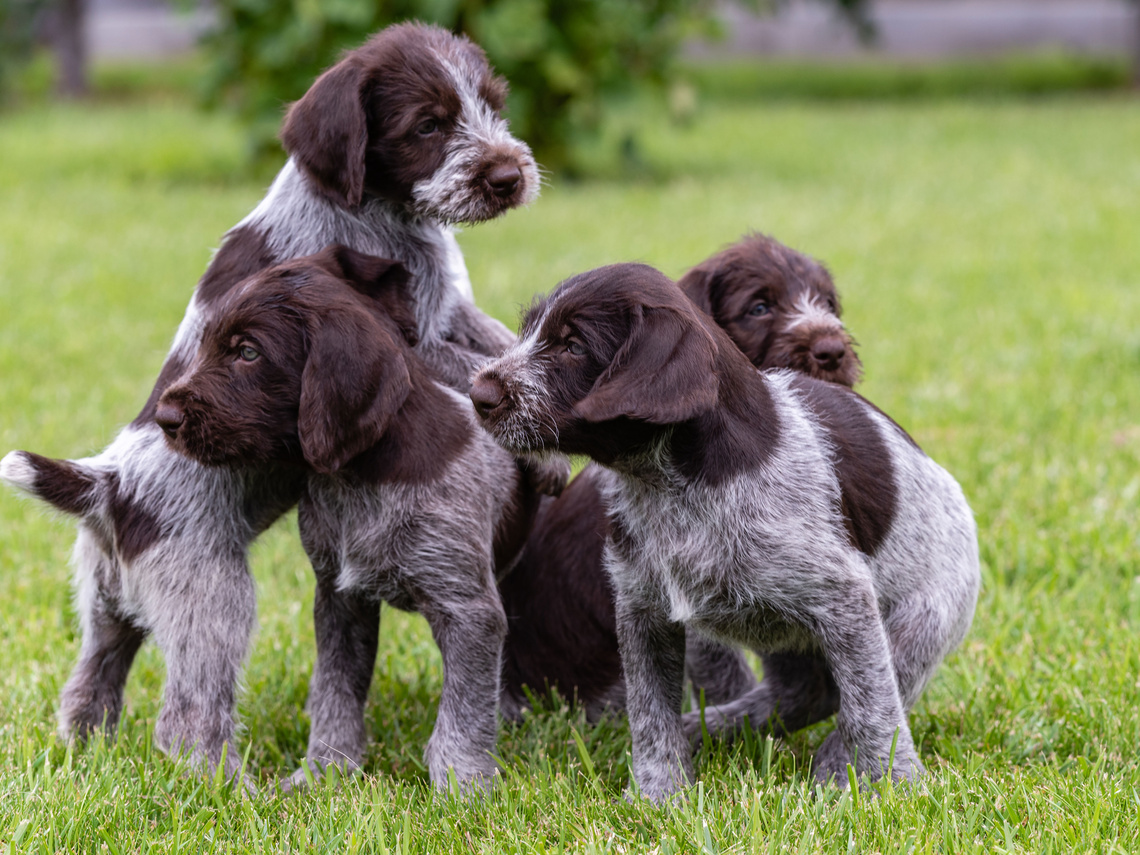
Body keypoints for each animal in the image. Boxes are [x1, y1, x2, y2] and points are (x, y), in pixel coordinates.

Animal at [1, 21, 542, 788]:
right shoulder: (416, 334)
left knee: (89, 683)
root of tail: (107, 485)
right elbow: (474, 367)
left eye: (492, 106)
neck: (371, 207)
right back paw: (229, 784)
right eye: (428, 125)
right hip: (214, 600)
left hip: (107, 604)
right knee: (188, 716)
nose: (509, 176)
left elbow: (494, 337)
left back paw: (86, 755)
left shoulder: (449, 311)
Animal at [471, 263, 980, 802]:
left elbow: (873, 707)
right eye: (529, 332)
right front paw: (656, 795)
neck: (669, 485)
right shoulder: (643, 611)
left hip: (921, 620)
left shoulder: (843, 599)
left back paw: (830, 760)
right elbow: (650, 714)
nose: (478, 394)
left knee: (872, 685)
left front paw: (892, 785)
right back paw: (709, 728)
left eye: (572, 345)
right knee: (804, 693)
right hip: (791, 637)